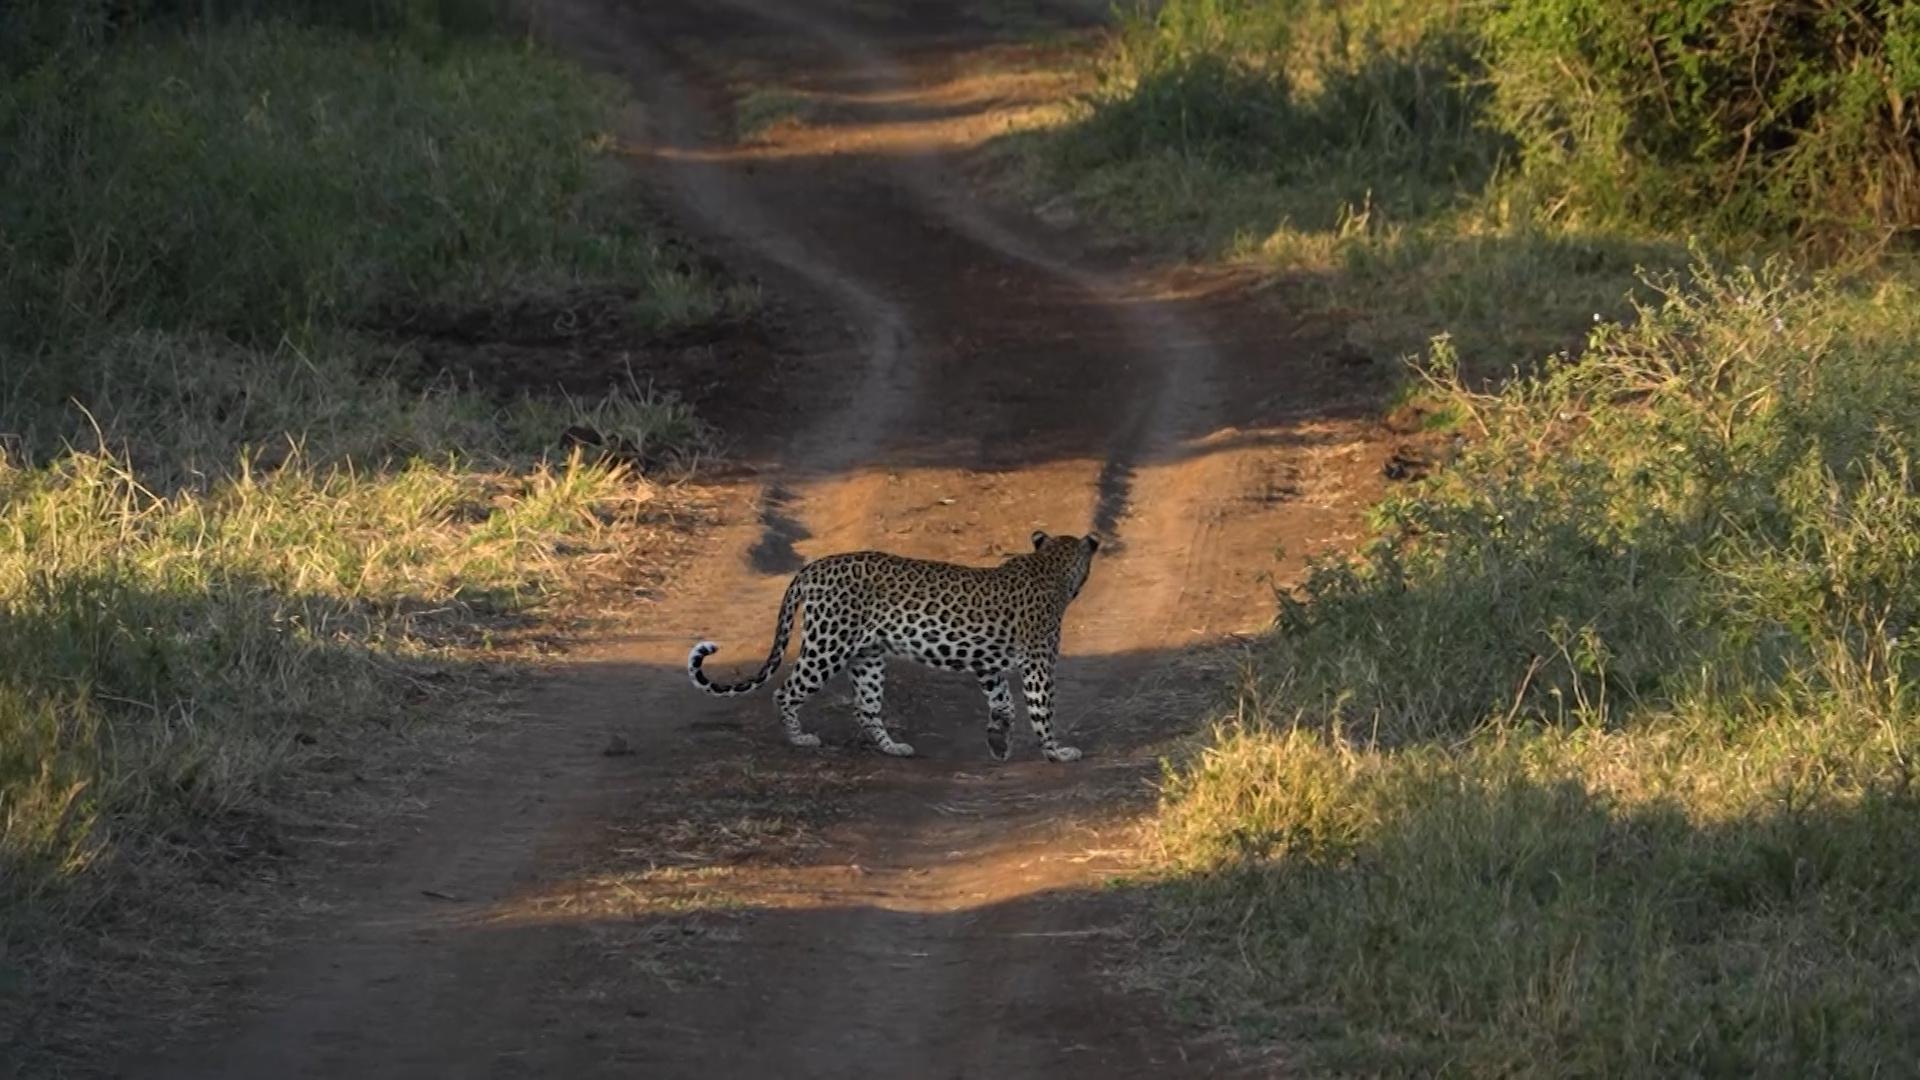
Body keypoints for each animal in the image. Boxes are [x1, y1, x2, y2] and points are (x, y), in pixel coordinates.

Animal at [687, 530, 1100, 762]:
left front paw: (998, 743)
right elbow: (1041, 707)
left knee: (865, 708)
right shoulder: (1038, 662)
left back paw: (893, 747)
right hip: (827, 644)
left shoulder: (988, 665)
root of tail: (813, 568)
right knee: (785, 692)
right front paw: (1057, 752)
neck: (1050, 566)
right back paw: (800, 738)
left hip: (867, 657)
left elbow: (1004, 704)